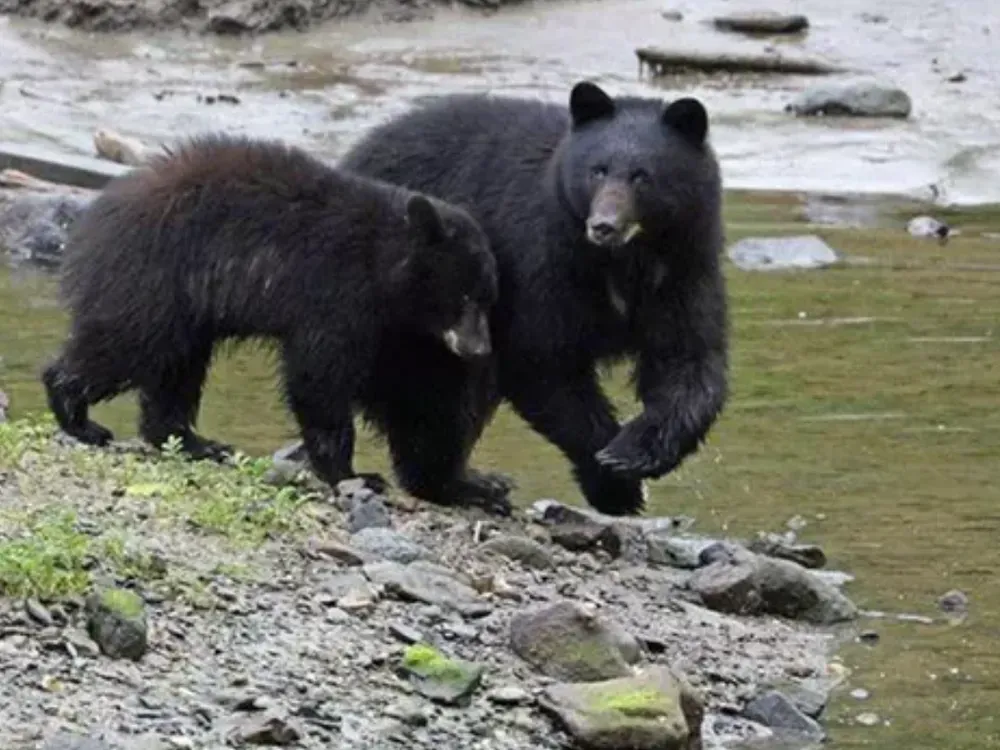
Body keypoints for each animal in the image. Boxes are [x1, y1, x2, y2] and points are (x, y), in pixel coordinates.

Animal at [41, 133, 514, 514]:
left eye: (489, 296)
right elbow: (320, 377)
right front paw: (353, 473)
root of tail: (96, 218)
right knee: (126, 343)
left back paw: (194, 442)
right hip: (156, 278)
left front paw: (472, 484)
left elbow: (411, 395)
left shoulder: (398, 332)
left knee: (177, 370)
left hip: (187, 308)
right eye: (465, 295)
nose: (479, 348)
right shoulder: (335, 294)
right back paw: (76, 413)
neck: (383, 262)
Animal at [340, 80, 728, 516]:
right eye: (597, 170)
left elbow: (688, 361)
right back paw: (466, 484)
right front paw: (613, 480)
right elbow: (542, 359)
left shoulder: (682, 272)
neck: (622, 262)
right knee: (436, 395)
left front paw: (634, 453)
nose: (604, 225)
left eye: (643, 176)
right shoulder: (540, 263)